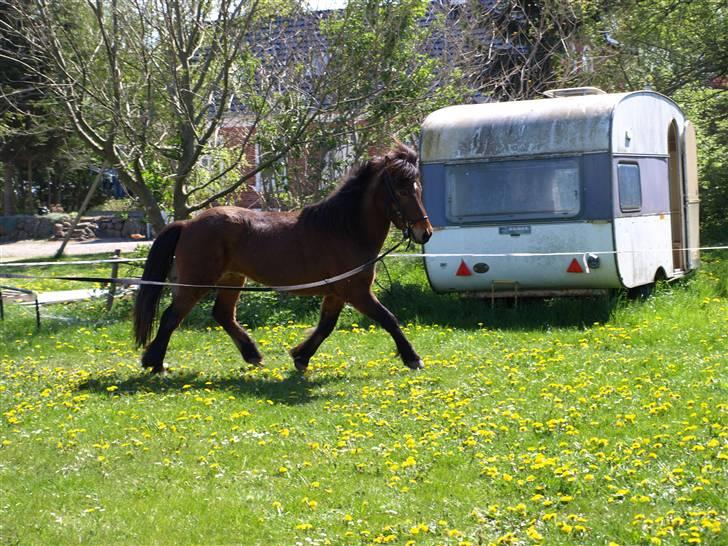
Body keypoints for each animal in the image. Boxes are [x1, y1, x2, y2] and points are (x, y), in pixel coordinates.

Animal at [133, 140, 432, 372]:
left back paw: (252, 355)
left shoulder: (337, 293)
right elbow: (388, 319)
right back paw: (155, 363)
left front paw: (300, 356)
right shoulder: (356, 291)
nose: (425, 232)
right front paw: (413, 358)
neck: (345, 228)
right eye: (402, 191)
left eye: (419, 189)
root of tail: (187, 224)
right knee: (172, 316)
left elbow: (326, 325)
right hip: (196, 283)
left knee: (222, 315)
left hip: (232, 279)